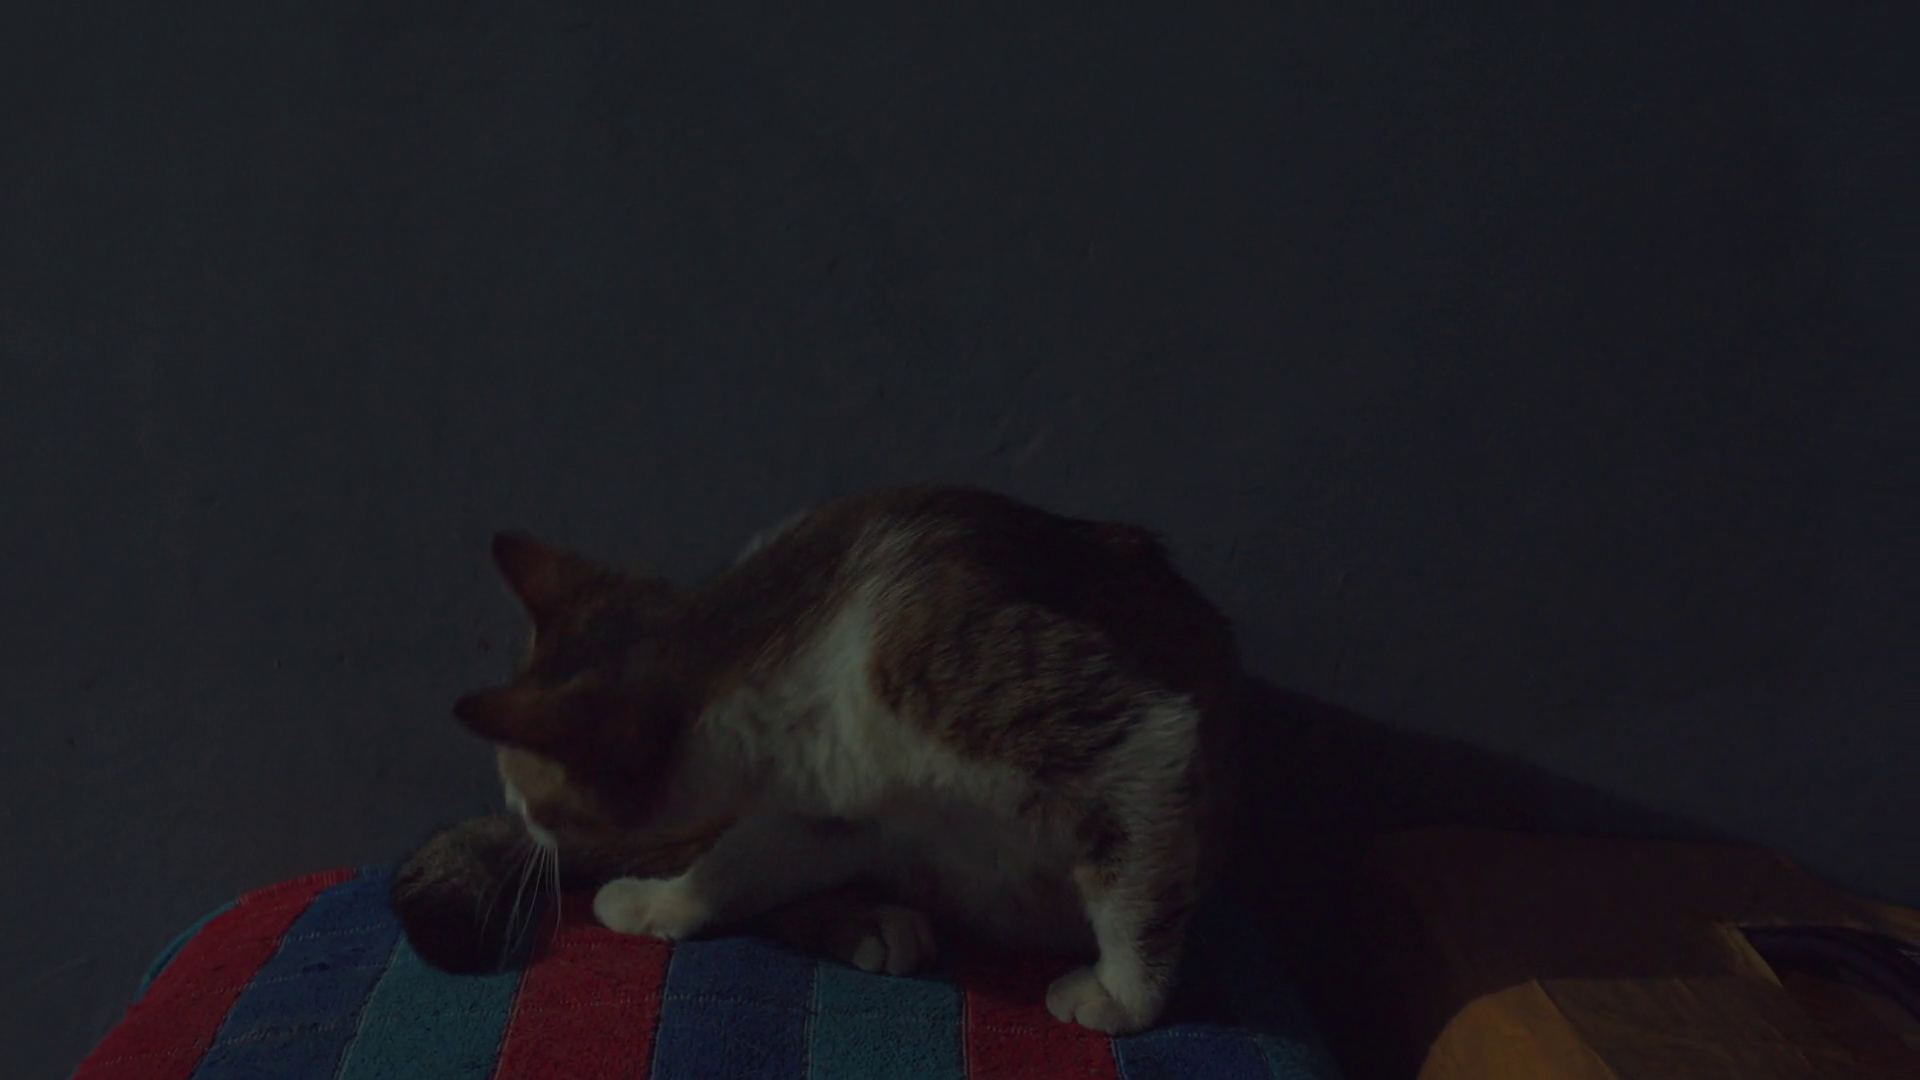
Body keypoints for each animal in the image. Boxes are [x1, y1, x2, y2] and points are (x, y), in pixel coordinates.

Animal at [450, 485, 1243, 1034]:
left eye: (528, 795)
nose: (523, 827)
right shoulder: (840, 808)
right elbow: (740, 864)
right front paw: (661, 900)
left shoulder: (1117, 734)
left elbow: (1136, 872)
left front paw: (1122, 995)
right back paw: (871, 924)